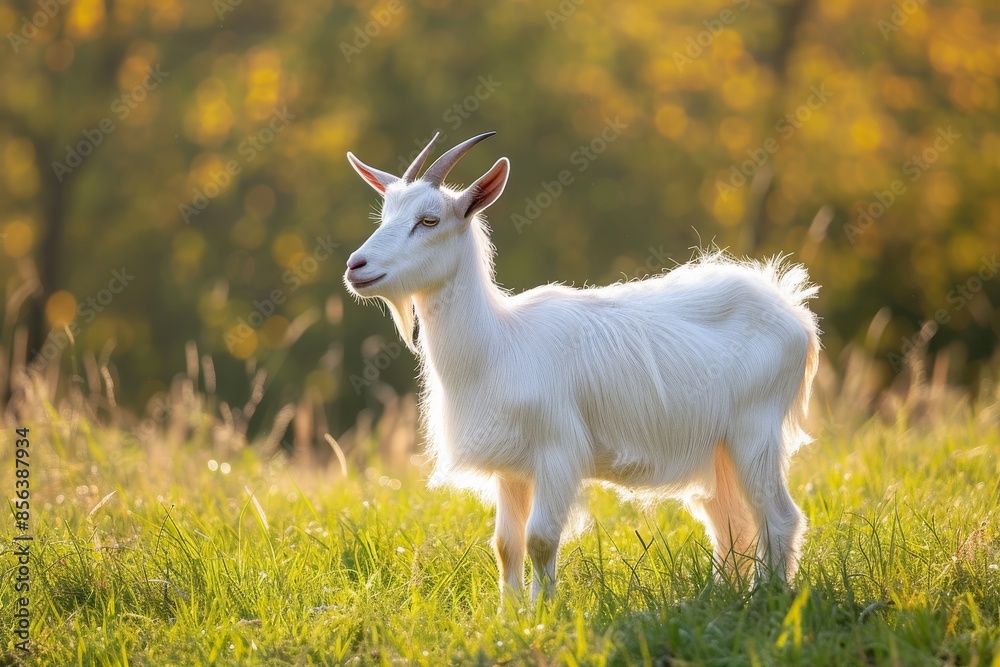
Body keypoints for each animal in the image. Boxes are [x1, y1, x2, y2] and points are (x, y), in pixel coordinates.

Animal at [343, 132, 820, 604]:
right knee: (731, 523)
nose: (355, 266)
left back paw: (767, 597)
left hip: (755, 430)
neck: (499, 344)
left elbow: (540, 538)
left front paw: (545, 612)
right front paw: (510, 613)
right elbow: (506, 544)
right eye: (385, 214)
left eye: (429, 220)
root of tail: (792, 309)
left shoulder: (557, 451)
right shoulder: (511, 466)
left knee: (778, 517)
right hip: (717, 449)